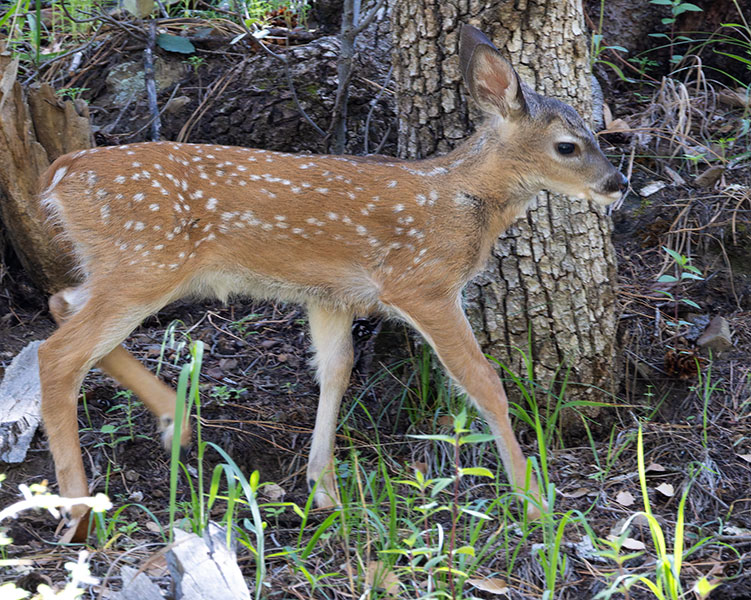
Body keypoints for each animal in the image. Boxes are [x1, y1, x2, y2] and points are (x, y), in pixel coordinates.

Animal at [37, 24, 627, 541]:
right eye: (568, 146)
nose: (617, 184)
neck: (462, 199)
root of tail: (59, 173)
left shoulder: (331, 296)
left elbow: (335, 371)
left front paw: (324, 491)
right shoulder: (422, 282)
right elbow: (483, 382)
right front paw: (534, 500)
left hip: (123, 265)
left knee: (61, 302)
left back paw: (175, 421)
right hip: (145, 261)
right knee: (58, 353)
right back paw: (78, 513)